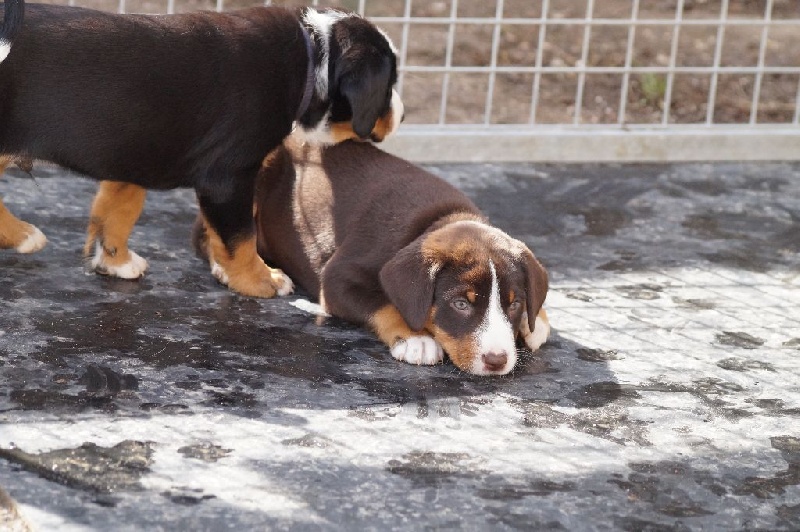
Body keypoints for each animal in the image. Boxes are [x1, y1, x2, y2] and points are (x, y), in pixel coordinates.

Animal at [0, 1, 403, 297]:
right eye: (388, 87)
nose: (400, 114)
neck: (312, 57)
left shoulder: (136, 151)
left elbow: (118, 209)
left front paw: (115, 261)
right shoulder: (229, 176)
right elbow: (240, 236)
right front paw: (260, 280)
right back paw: (23, 235)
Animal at [194, 137, 550, 376]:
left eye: (514, 304)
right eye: (461, 304)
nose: (497, 360)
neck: (438, 219)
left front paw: (535, 322)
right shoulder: (337, 278)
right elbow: (384, 305)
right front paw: (416, 339)